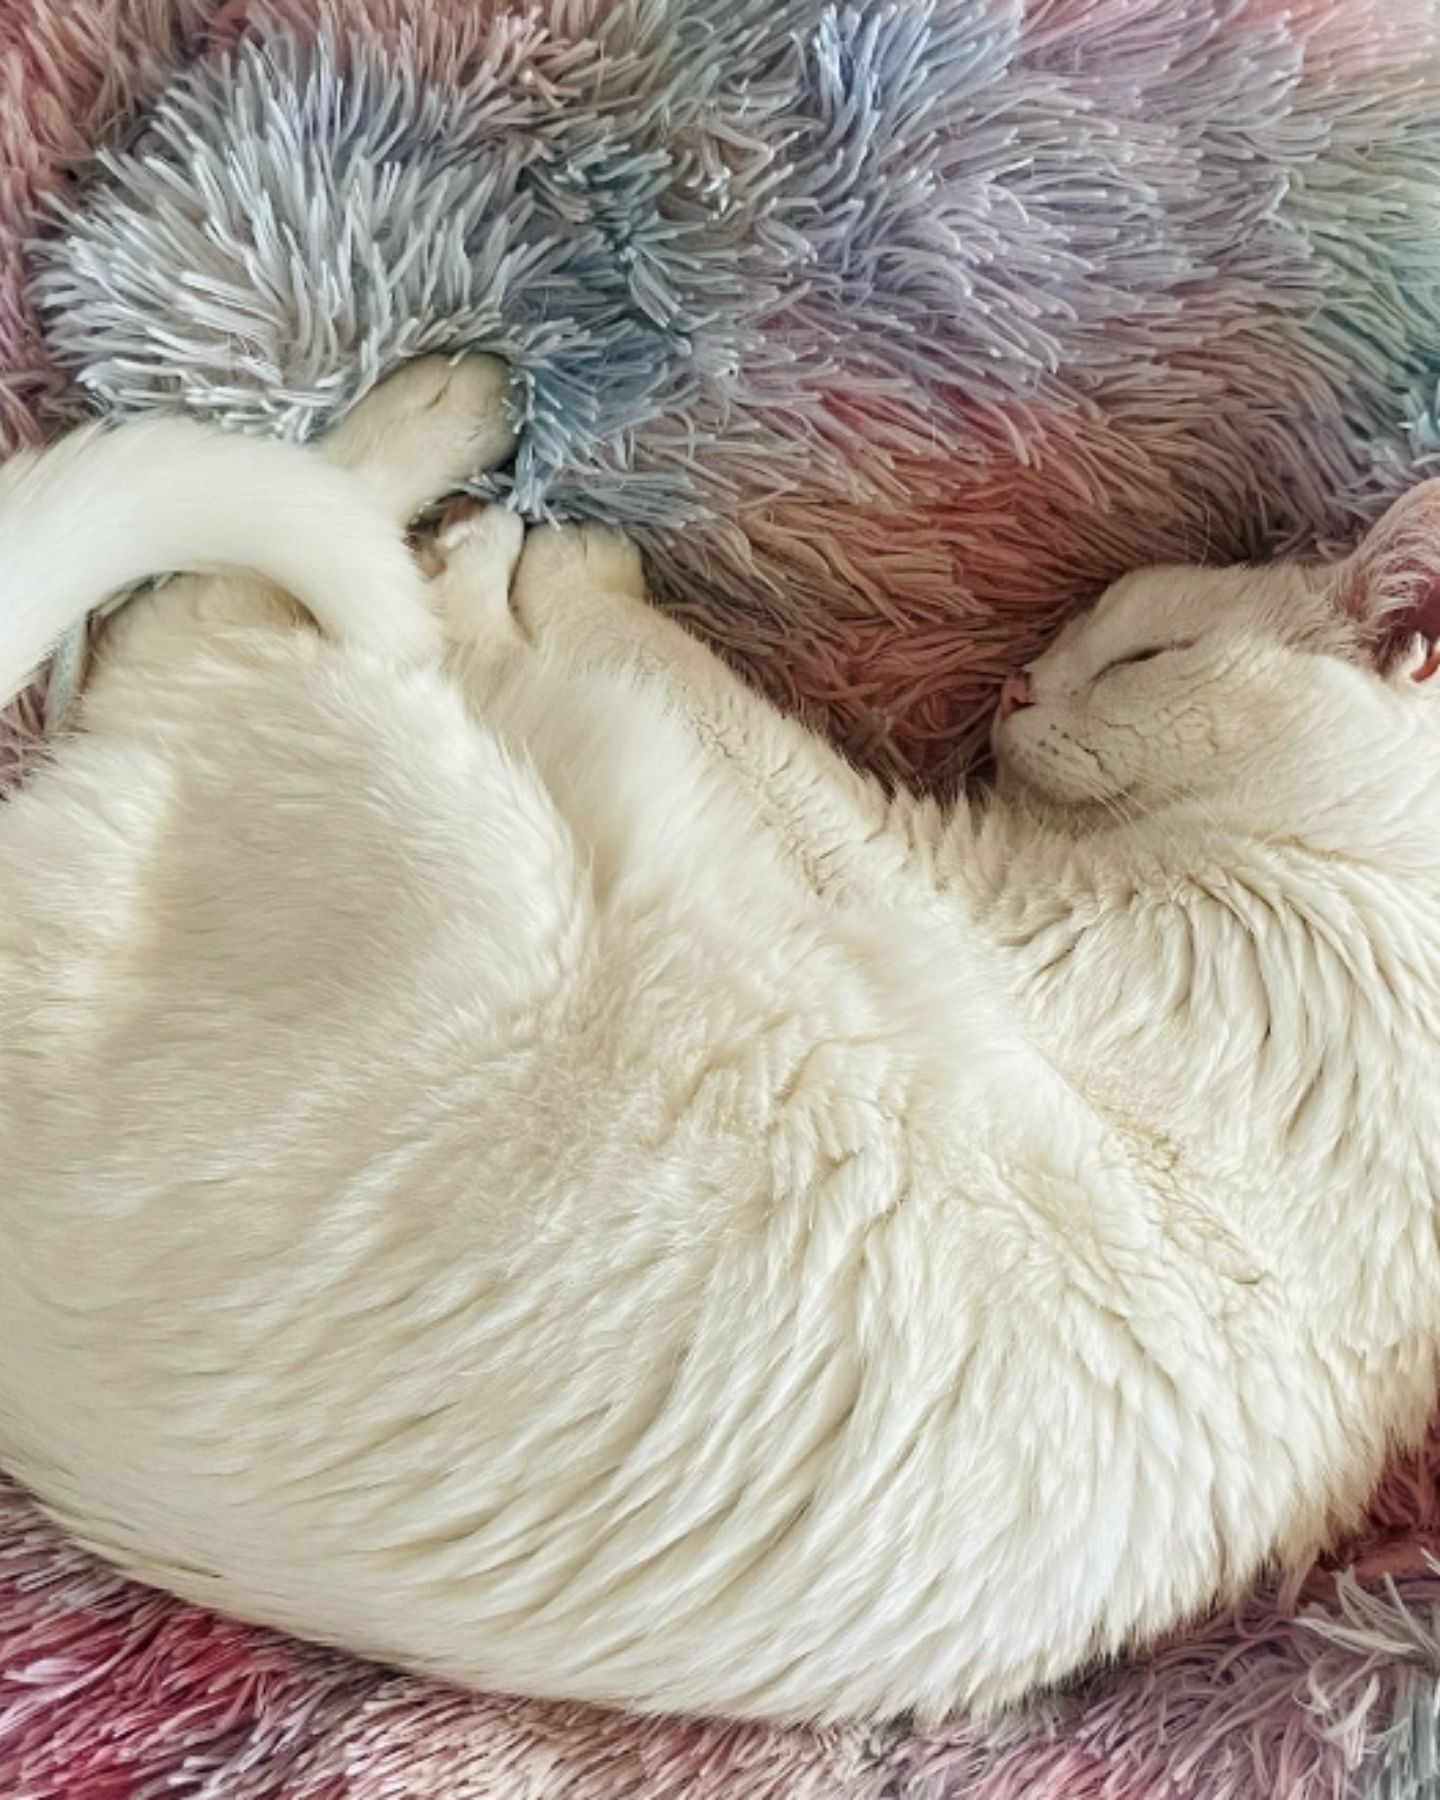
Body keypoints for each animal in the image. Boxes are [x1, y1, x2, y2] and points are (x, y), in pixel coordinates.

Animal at [2, 354, 1440, 1728]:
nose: (1019, 682)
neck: (1364, 880)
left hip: (446, 832)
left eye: (1148, 657)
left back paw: (461, 478)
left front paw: (559, 573)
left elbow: (722, 707)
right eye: (1096, 632)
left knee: (222, 596)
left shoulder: (936, 888)